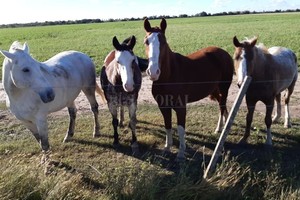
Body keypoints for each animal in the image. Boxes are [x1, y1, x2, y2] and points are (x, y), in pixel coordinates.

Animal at [144, 18, 234, 159]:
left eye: (163, 42)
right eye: (146, 42)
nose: (153, 72)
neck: (169, 76)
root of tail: (224, 53)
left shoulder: (181, 107)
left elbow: (181, 129)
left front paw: (180, 153)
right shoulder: (163, 106)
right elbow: (168, 126)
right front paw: (167, 148)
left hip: (224, 89)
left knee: (221, 107)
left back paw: (219, 128)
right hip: (215, 90)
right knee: (222, 106)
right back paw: (223, 126)